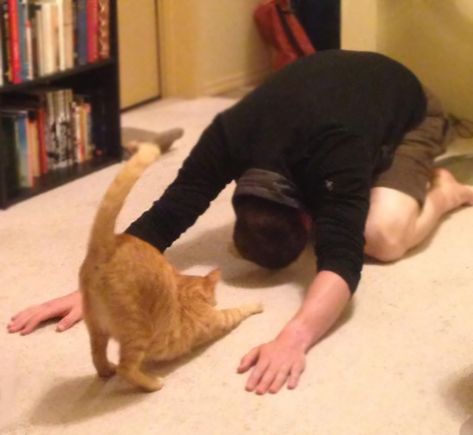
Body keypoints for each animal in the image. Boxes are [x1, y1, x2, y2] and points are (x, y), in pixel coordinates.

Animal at [78, 145, 262, 394]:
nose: (214, 303)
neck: (186, 292)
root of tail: (108, 245)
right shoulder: (219, 319)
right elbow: (238, 310)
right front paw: (256, 305)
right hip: (138, 333)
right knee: (126, 368)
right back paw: (152, 383)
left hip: (96, 327)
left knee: (97, 354)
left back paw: (107, 370)